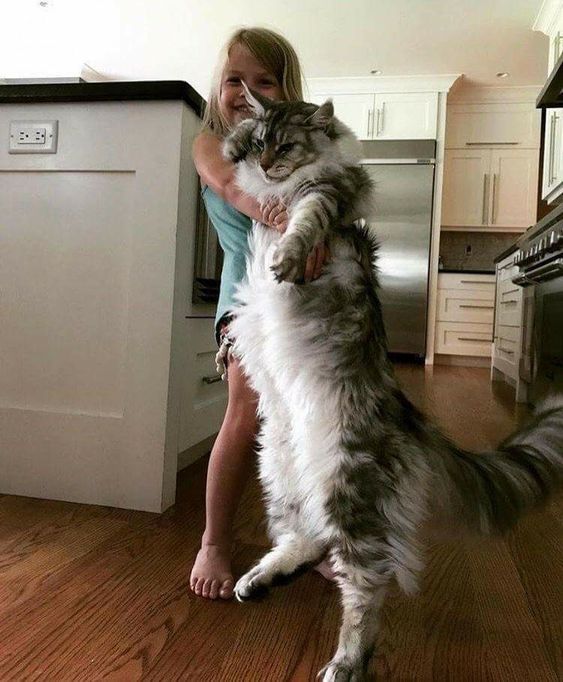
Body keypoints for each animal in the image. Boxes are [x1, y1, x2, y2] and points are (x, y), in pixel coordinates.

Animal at [223, 86, 560, 680]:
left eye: (285, 146)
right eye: (260, 142)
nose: (264, 164)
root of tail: (405, 411)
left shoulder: (328, 195)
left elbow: (304, 220)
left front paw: (285, 257)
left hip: (348, 486)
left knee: (368, 585)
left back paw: (346, 661)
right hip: (278, 467)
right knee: (306, 538)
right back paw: (262, 576)